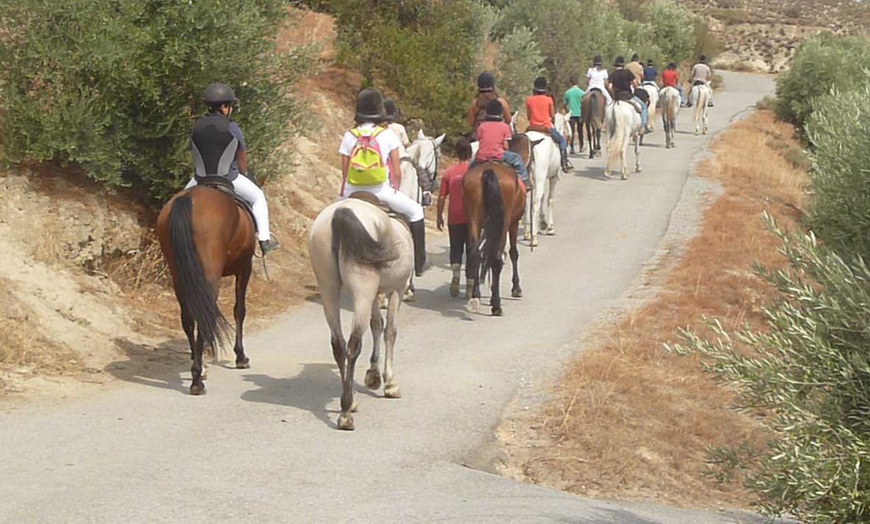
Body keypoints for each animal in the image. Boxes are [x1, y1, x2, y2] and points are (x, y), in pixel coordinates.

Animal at [157, 182, 255, 396]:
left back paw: (198, 368)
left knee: (188, 318)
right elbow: (239, 310)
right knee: (203, 316)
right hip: (210, 275)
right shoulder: (245, 268)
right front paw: (241, 356)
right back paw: (197, 380)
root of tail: (188, 199)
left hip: (180, 277)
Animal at [306, 196, 416, 430]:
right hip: (362, 290)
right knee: (354, 343)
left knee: (338, 344)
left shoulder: (376, 294)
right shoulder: (398, 289)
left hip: (328, 288)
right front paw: (389, 383)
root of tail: (341, 213)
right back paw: (346, 412)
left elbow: (377, 325)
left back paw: (350, 402)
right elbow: (390, 331)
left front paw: (373, 375)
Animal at [466, 164, 528, 316]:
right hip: (504, 225)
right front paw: (516, 288)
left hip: (473, 222)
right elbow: (513, 253)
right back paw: (496, 305)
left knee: (475, 255)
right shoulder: (513, 224)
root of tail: (488, 171)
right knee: (496, 260)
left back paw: (475, 296)